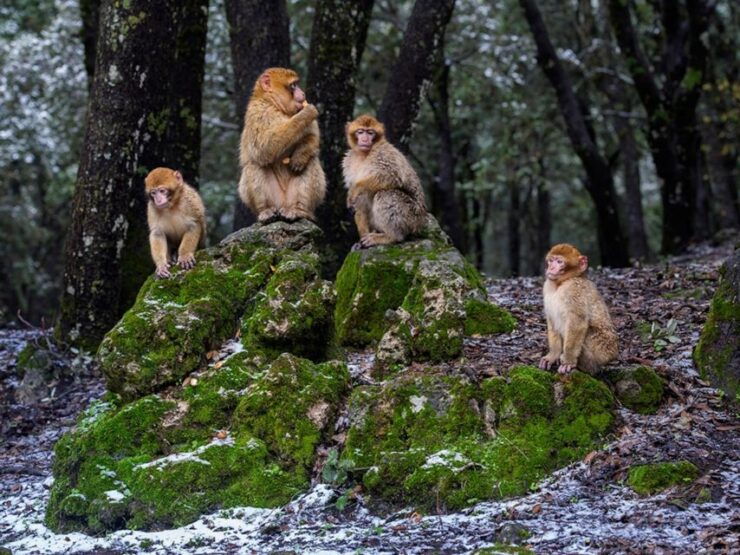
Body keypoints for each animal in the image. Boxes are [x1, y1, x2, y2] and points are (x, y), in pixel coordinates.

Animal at [238, 67, 326, 223]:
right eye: (293, 86)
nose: (303, 93)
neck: (274, 105)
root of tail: (283, 204)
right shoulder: (256, 112)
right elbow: (264, 148)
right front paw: (306, 114)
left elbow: (312, 138)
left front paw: (300, 156)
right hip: (275, 199)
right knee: (254, 164)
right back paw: (266, 211)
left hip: (292, 199)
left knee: (311, 161)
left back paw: (299, 210)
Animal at [342, 114, 427, 249]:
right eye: (360, 132)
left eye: (370, 133)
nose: (365, 139)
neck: (364, 155)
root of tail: (420, 223)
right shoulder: (349, 162)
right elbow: (359, 200)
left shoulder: (382, 153)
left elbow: (391, 176)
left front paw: (355, 189)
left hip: (412, 217)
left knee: (385, 194)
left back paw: (391, 236)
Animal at [538, 243, 618, 375]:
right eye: (551, 260)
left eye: (560, 262)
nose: (551, 267)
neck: (562, 282)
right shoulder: (547, 286)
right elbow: (552, 320)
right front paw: (553, 355)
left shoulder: (574, 290)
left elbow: (577, 323)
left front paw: (568, 361)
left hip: (602, 349)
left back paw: (586, 367)